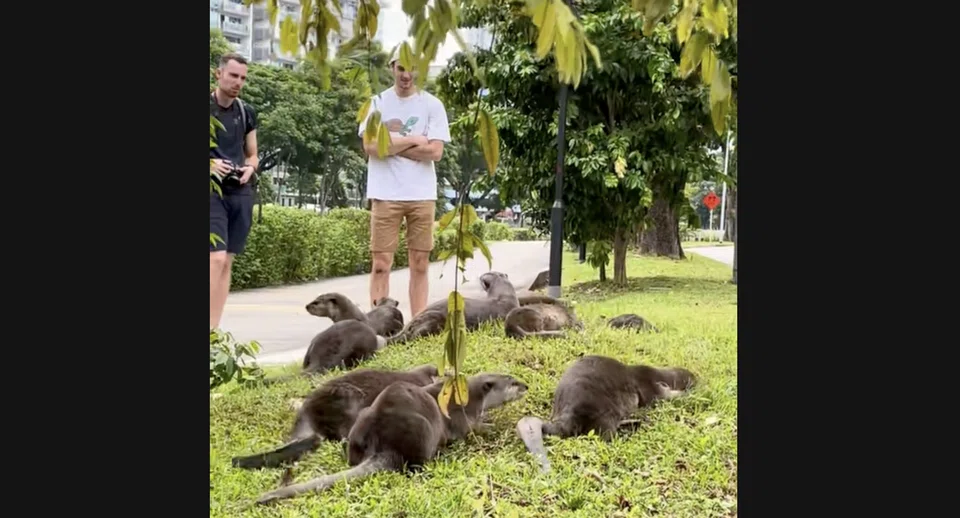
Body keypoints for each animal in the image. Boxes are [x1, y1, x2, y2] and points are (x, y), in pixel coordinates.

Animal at [254, 372, 529, 504]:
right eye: (513, 382)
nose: (526, 385)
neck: (466, 397)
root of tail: (384, 444)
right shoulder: (461, 418)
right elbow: (473, 430)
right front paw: (493, 425)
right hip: (423, 429)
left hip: (363, 417)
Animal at [515, 355, 696, 473]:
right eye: (689, 377)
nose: (696, 378)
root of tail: (569, 412)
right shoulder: (650, 387)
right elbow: (663, 396)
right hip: (605, 410)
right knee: (606, 435)